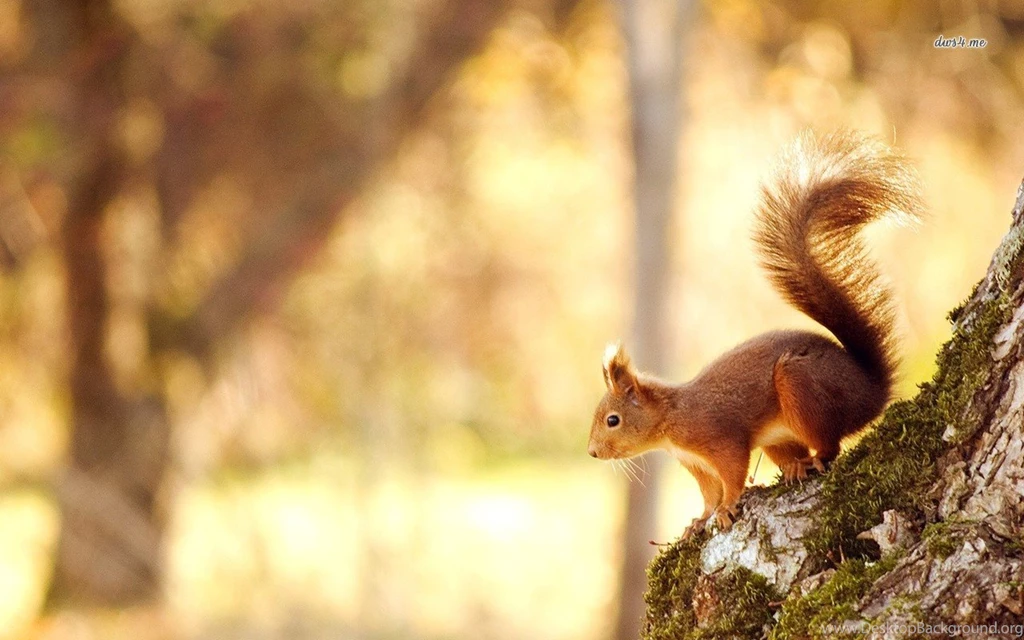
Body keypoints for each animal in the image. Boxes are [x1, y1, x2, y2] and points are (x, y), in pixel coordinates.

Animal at [587, 130, 923, 536]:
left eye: (613, 420)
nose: (592, 452)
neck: (671, 419)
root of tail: (872, 391)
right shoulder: (696, 463)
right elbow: (708, 492)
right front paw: (699, 520)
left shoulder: (719, 438)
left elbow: (732, 474)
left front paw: (727, 508)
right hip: (778, 435)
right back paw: (794, 466)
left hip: (801, 387)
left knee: (829, 447)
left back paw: (810, 461)